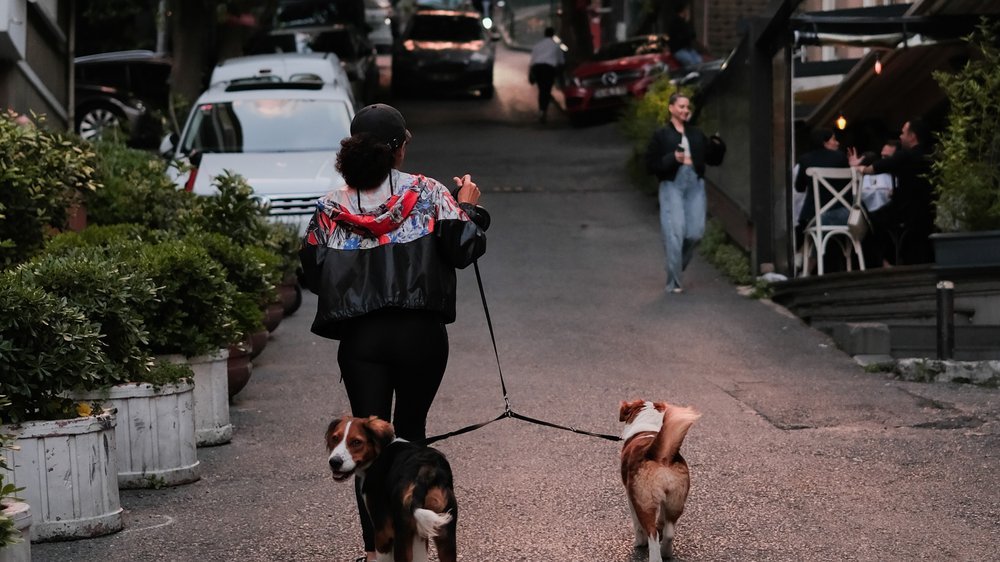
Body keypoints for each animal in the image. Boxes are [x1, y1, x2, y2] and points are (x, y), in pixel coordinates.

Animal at [324, 414, 458, 556]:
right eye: (335, 438)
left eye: (356, 442)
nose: (334, 462)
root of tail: (425, 470)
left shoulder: (383, 531)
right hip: (445, 533)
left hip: (401, 532)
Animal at [620, 398, 700, 560]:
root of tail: (661, 456)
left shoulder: (631, 497)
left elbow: (637, 525)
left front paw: (639, 542)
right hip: (676, 501)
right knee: (669, 533)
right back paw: (666, 552)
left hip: (644, 504)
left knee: (652, 534)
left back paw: (656, 553)